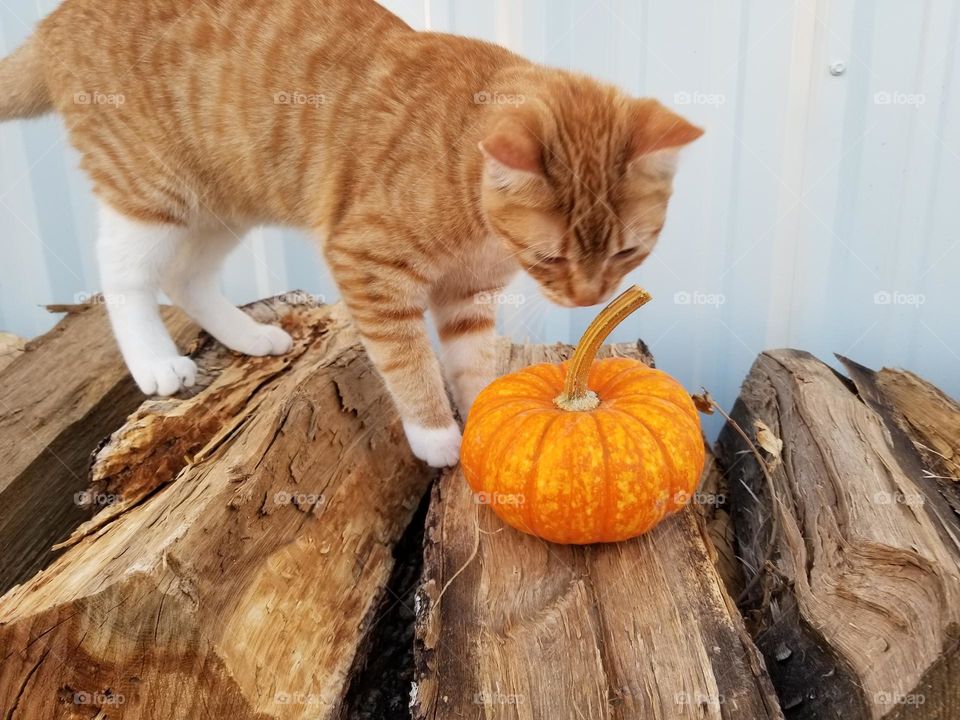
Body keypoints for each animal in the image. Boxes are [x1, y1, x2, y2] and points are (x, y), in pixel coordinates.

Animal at [1, 0, 704, 466]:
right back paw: (153, 361)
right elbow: (408, 360)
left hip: (224, 201)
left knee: (186, 276)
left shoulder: (467, 296)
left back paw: (249, 335)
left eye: (627, 251)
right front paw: (435, 435)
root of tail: (55, 17)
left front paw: (485, 411)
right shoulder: (367, 263)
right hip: (153, 191)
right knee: (123, 274)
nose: (589, 299)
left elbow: (471, 359)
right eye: (549, 256)